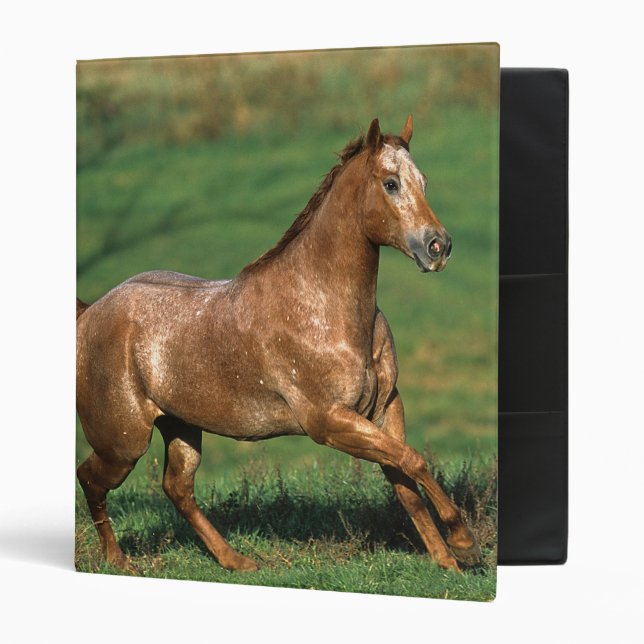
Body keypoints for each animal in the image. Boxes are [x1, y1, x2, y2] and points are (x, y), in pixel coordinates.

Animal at [76, 116, 480, 574]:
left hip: (180, 427)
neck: (321, 306)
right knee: (91, 480)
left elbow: (405, 479)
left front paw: (448, 563)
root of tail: (89, 314)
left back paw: (237, 561)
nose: (438, 247)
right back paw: (118, 560)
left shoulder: (384, 407)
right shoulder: (328, 422)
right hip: (123, 442)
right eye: (390, 183)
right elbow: (412, 460)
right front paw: (465, 543)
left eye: (423, 181)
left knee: (177, 487)